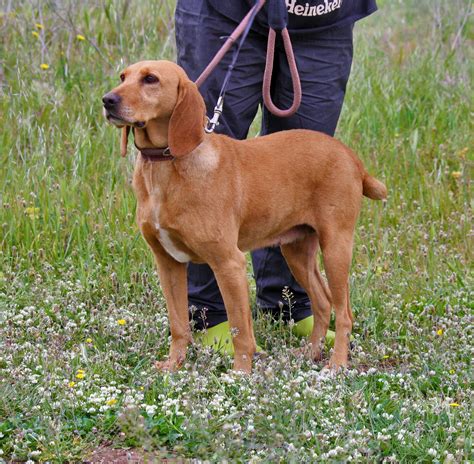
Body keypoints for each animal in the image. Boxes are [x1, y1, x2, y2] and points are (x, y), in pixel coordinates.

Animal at [102, 60, 386, 374]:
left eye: (150, 79)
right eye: (123, 77)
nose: (107, 100)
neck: (167, 166)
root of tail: (352, 158)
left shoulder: (229, 263)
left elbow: (240, 329)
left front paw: (240, 373)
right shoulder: (169, 264)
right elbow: (179, 325)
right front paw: (174, 364)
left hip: (336, 247)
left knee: (344, 312)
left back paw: (336, 363)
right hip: (296, 251)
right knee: (323, 304)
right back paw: (311, 352)